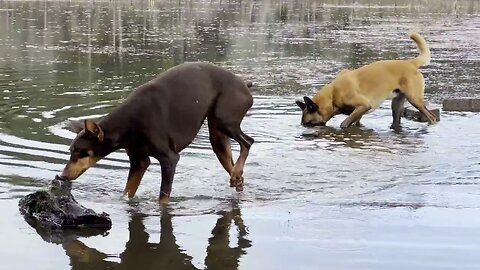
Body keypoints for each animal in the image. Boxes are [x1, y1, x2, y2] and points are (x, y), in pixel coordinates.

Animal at [62, 62, 253, 202]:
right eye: (71, 151)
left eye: (80, 152)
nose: (63, 176)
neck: (127, 124)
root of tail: (245, 84)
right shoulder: (139, 161)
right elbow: (127, 193)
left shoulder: (169, 159)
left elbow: (162, 199)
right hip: (217, 137)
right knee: (235, 166)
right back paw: (237, 177)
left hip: (225, 121)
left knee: (248, 142)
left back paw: (237, 171)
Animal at [294, 32, 436, 130]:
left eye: (309, 123)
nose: (302, 128)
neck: (332, 95)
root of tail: (411, 63)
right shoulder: (359, 113)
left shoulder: (363, 105)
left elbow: (343, 124)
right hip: (396, 105)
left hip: (414, 100)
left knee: (432, 118)